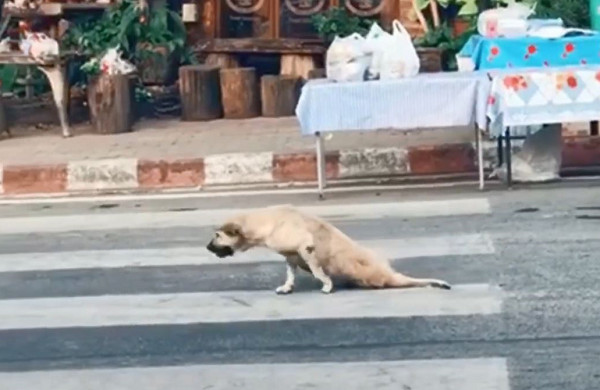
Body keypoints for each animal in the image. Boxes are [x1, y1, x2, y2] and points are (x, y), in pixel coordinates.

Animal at [206, 204, 450, 292]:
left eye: (217, 235)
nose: (207, 247)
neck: (263, 223)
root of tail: (387, 273)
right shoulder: (291, 255)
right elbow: (290, 272)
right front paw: (287, 286)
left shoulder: (305, 246)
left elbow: (317, 270)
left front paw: (326, 283)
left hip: (370, 276)